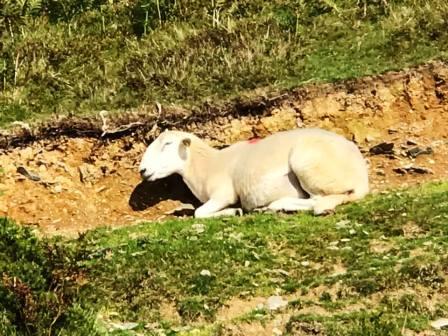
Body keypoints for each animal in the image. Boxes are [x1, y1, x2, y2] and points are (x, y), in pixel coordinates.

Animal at [138, 128, 370, 218]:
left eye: (168, 144)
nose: (142, 170)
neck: (208, 164)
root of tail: (362, 176)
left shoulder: (223, 194)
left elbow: (199, 213)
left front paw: (233, 211)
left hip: (307, 165)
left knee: (320, 200)